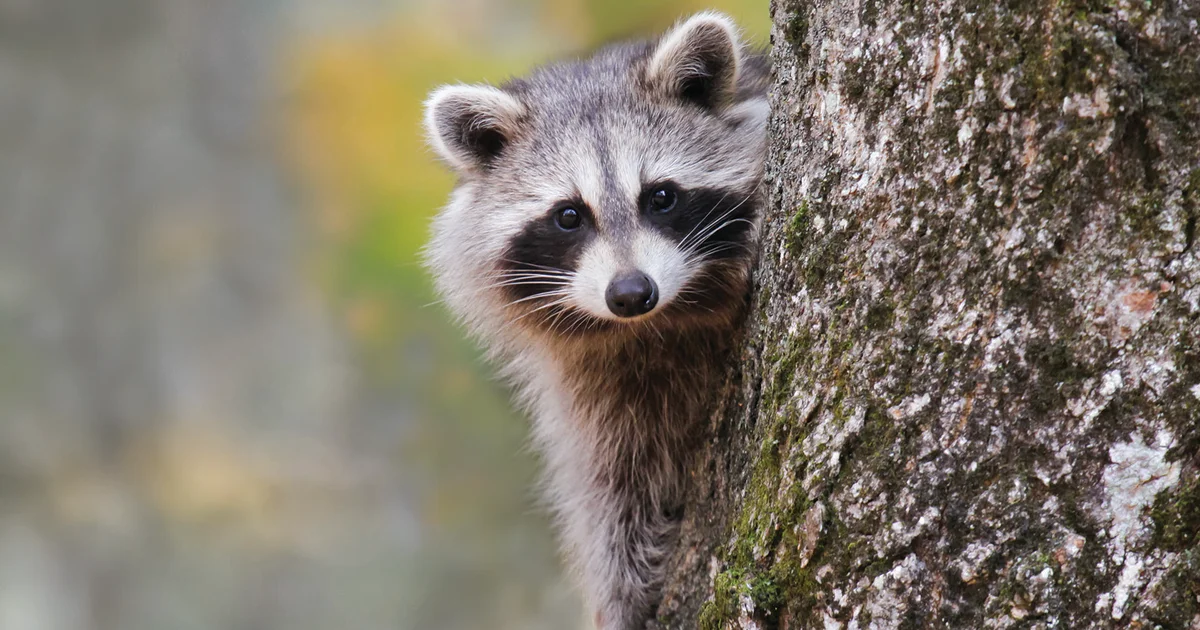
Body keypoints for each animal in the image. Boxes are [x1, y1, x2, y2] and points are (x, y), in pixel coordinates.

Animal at [423, 12, 769, 629]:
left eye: (661, 196)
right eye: (568, 216)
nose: (630, 293)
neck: (656, 326)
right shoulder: (595, 385)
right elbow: (612, 486)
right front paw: (622, 588)